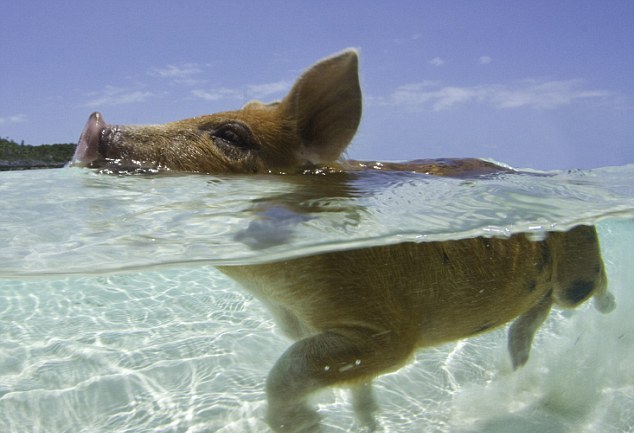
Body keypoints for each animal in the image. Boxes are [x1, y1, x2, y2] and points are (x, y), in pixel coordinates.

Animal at [70, 49, 612, 430]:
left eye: (230, 135)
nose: (94, 123)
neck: (279, 292)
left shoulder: (389, 330)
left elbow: (287, 372)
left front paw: (303, 425)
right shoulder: (310, 329)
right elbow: (354, 388)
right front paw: (368, 423)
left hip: (578, 263)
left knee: (588, 292)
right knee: (534, 316)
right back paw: (518, 366)